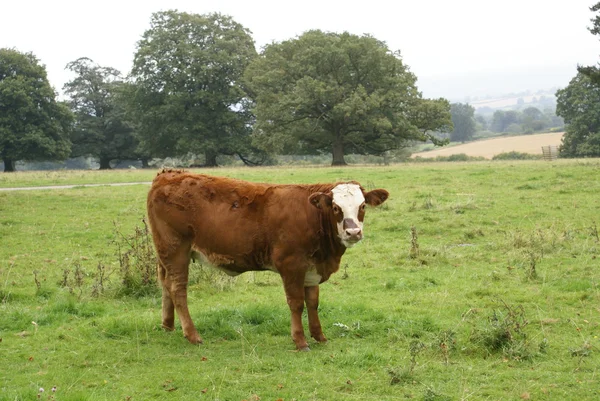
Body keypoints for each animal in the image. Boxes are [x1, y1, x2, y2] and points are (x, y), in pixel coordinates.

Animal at [146, 169, 390, 350]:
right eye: (336, 207)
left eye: (362, 206)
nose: (353, 232)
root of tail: (168, 174)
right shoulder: (291, 265)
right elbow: (296, 303)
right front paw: (300, 341)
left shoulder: (312, 268)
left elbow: (313, 302)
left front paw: (319, 336)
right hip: (176, 250)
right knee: (177, 288)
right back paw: (192, 335)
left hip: (165, 254)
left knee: (165, 283)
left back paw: (168, 326)